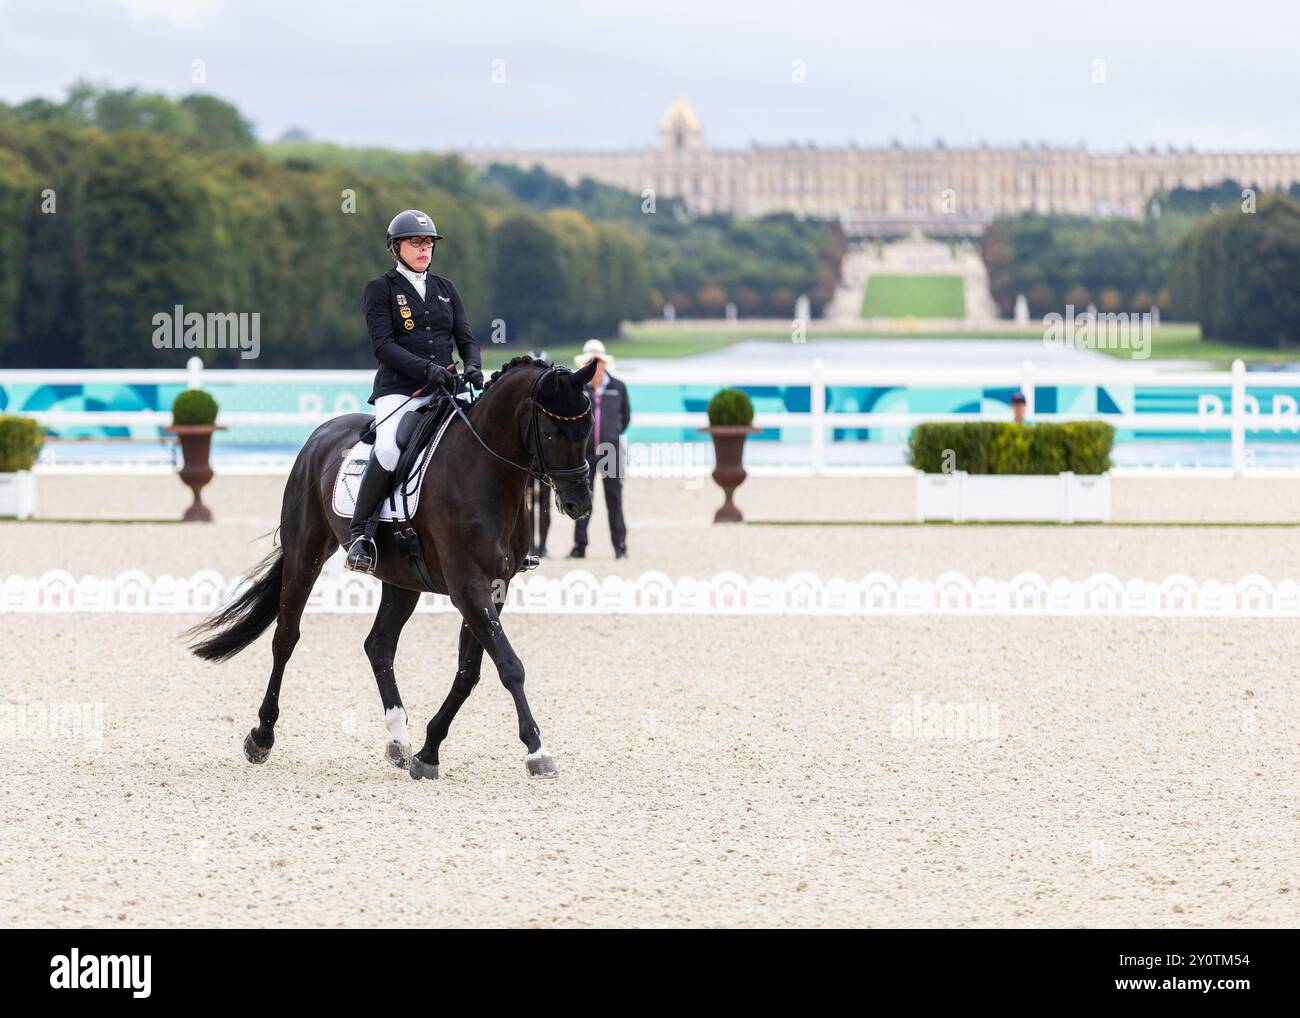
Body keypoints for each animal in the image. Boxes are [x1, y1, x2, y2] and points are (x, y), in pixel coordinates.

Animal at [184, 358, 598, 780]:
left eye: (587, 427)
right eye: (550, 431)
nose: (579, 503)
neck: (484, 472)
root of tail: (320, 435)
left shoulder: (495, 587)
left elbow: (469, 671)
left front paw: (429, 751)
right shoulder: (468, 586)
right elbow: (509, 665)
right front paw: (537, 751)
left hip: (402, 580)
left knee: (378, 645)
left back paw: (399, 740)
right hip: (305, 556)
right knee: (285, 638)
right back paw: (261, 737)